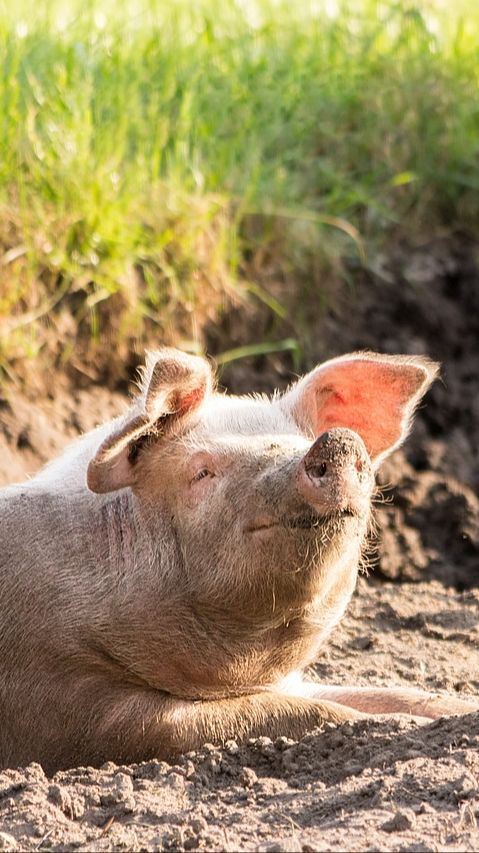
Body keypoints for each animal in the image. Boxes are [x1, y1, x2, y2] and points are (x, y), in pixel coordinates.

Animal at [0, 346, 479, 772]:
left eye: (300, 442)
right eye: (202, 472)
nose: (338, 442)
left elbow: (389, 694)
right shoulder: (74, 706)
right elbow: (298, 713)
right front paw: (400, 725)